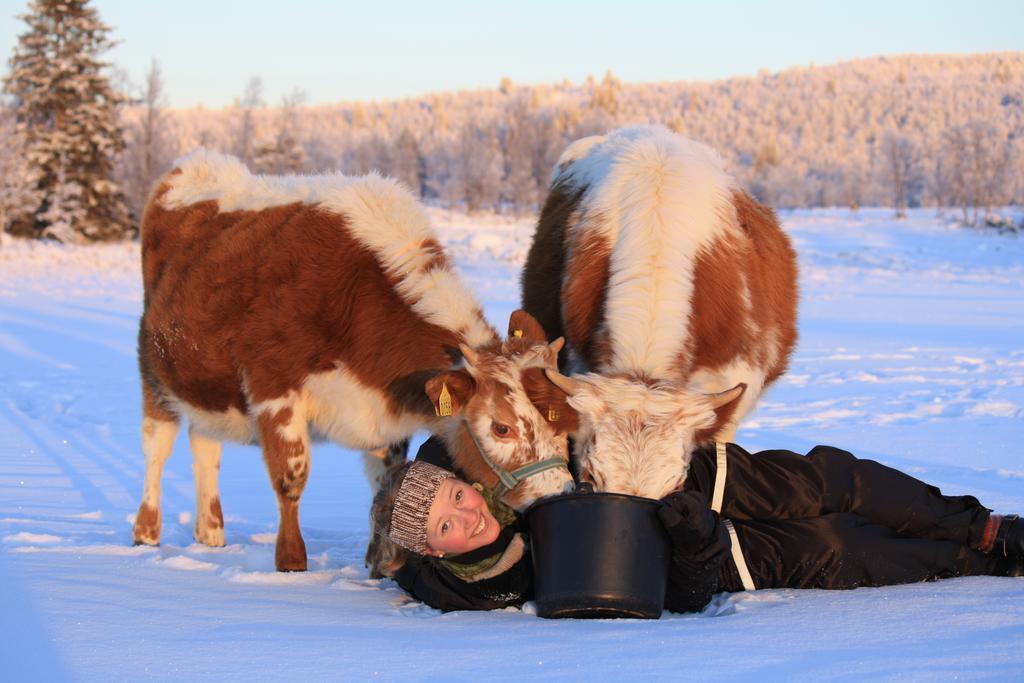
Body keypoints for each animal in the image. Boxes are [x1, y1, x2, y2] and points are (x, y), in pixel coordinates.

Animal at [132, 150, 573, 573]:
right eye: (501, 428)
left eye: (563, 419)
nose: (561, 492)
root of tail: (192, 165)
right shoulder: (274, 389)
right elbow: (291, 476)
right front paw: (290, 565)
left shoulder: (386, 416)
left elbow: (385, 479)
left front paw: (378, 565)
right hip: (153, 371)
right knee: (157, 447)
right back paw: (146, 533)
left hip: (203, 383)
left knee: (205, 447)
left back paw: (210, 533)